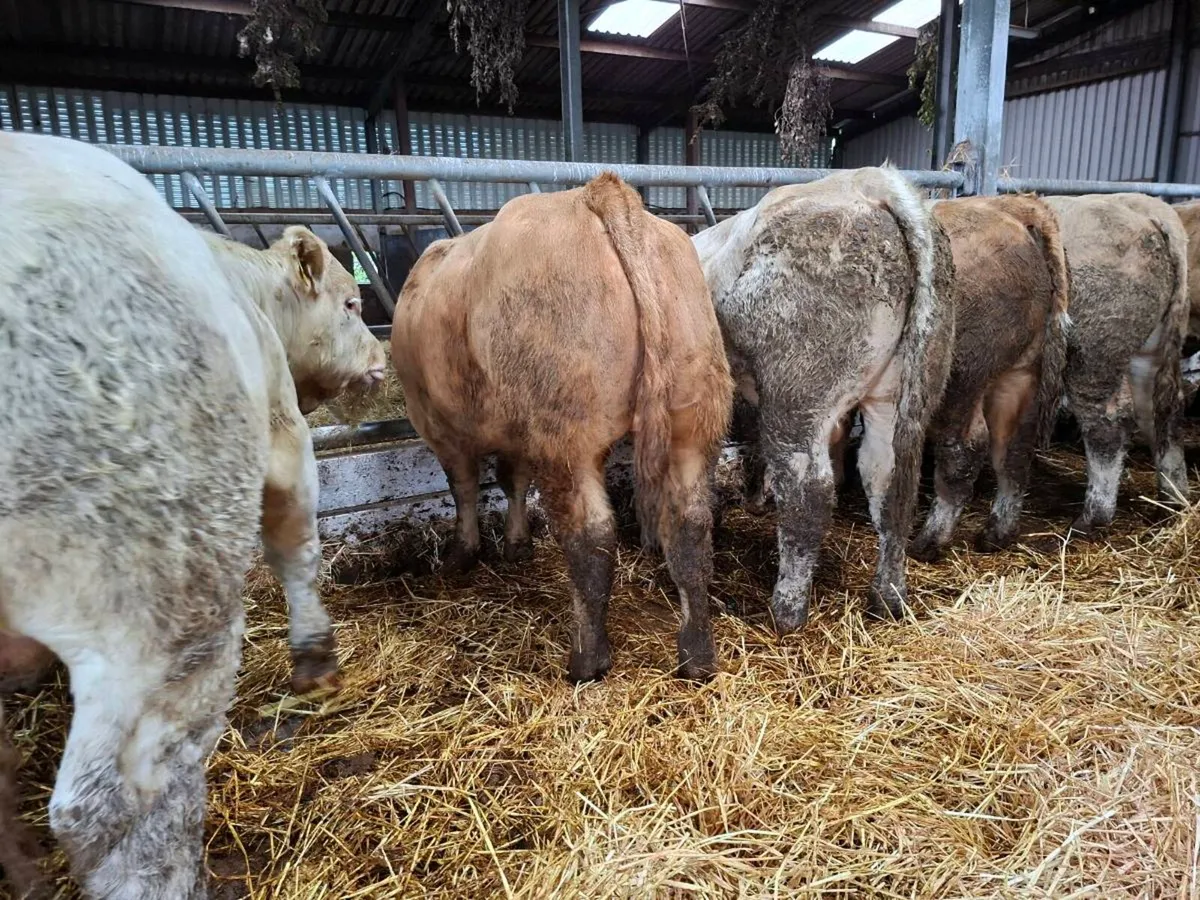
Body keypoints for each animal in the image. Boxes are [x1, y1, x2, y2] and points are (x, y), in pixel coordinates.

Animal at [0, 132, 380, 898]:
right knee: (111, 801)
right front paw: (316, 661)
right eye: (352, 303)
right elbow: (298, 550)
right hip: (160, 605)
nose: (384, 356)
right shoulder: (286, 436)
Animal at [391, 173, 733, 683]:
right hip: (691, 421)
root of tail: (599, 193)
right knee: (690, 528)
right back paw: (697, 655)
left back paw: (587, 660)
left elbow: (465, 486)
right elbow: (512, 479)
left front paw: (462, 553)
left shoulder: (437, 422)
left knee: (591, 538)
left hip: (568, 435)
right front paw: (516, 544)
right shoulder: (515, 430)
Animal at [692, 167, 955, 632]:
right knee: (891, 485)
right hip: (898, 394)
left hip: (796, 396)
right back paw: (888, 597)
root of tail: (871, 184)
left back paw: (786, 610)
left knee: (807, 493)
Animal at [908, 195, 1070, 560]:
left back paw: (929, 541)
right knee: (1014, 450)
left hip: (959, 377)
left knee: (964, 449)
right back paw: (997, 533)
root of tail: (1011, 207)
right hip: (1020, 372)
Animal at [1044, 193, 1189, 533]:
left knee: (1108, 423)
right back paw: (1172, 503)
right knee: (1161, 413)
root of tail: (1150, 210)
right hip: (1148, 352)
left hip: (1095, 349)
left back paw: (1091, 518)